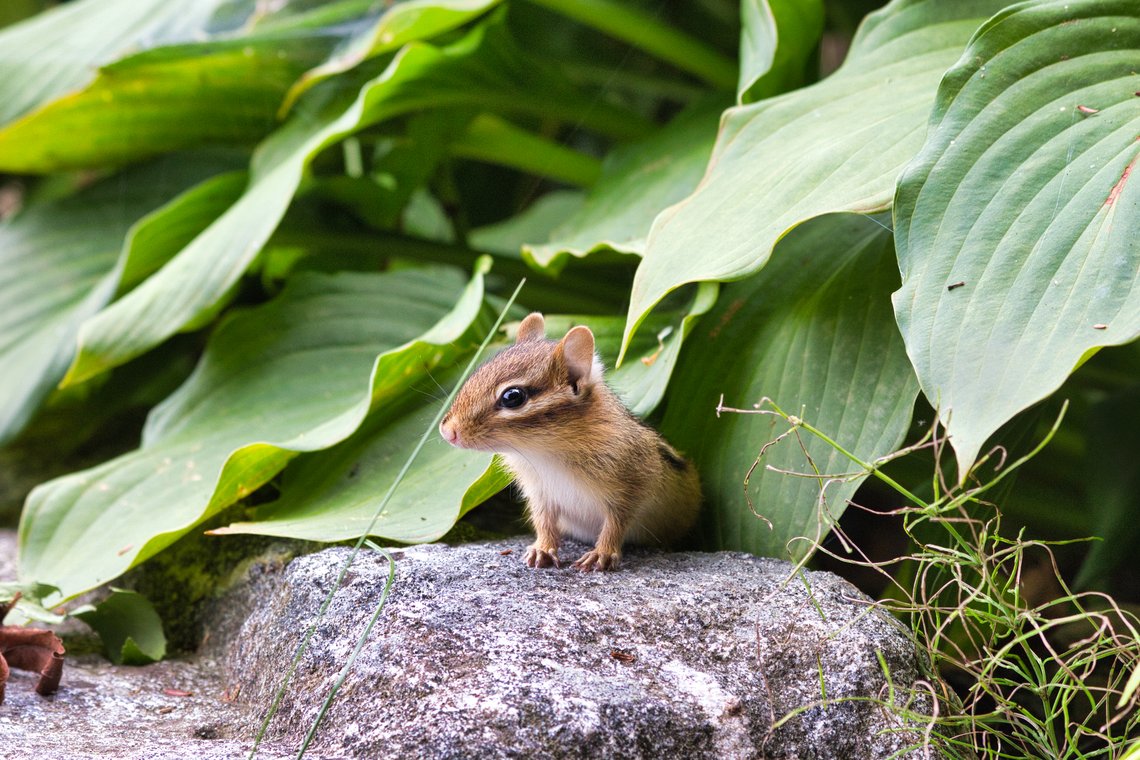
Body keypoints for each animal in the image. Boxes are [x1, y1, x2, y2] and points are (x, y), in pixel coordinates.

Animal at [439, 312, 701, 571]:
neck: (545, 452)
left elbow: (615, 524)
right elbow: (544, 521)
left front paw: (602, 553)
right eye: (476, 374)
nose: (447, 431)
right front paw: (542, 548)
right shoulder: (540, 493)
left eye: (512, 397)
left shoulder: (632, 486)